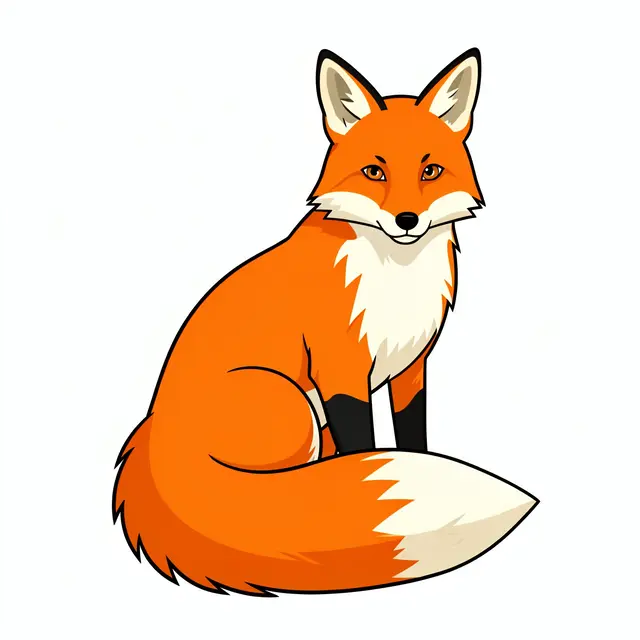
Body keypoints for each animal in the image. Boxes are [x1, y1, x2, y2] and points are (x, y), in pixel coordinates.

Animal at [112, 48, 538, 596]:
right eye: (374, 171)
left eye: (431, 171)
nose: (406, 220)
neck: (396, 280)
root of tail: (154, 432)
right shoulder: (341, 368)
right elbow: (364, 449)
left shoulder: (411, 367)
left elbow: (411, 438)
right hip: (292, 405)